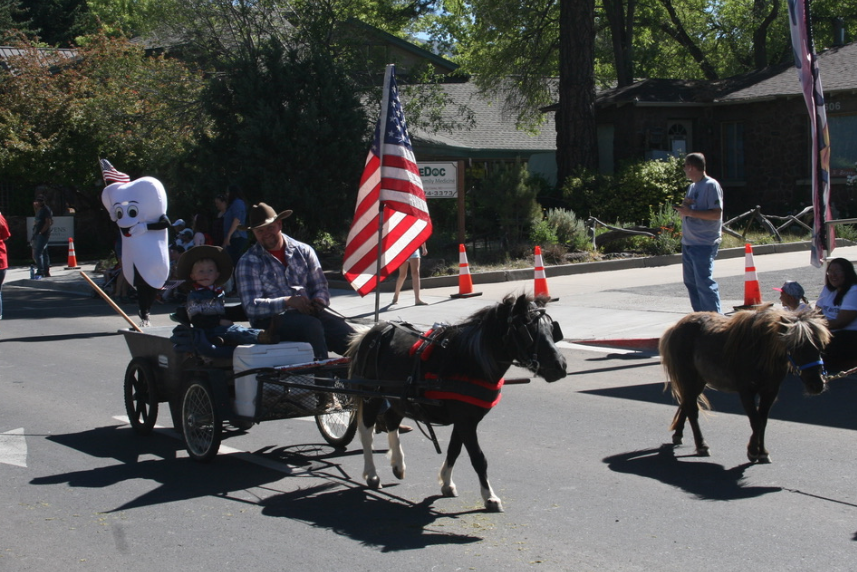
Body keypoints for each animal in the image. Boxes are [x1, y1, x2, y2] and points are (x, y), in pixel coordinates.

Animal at [348, 292, 568, 512]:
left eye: (552, 329)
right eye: (528, 331)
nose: (561, 366)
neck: (470, 361)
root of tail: (373, 331)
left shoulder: (465, 420)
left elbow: (454, 450)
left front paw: (446, 483)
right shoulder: (465, 421)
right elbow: (478, 458)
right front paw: (489, 496)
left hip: (398, 398)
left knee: (392, 422)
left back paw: (398, 464)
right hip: (371, 395)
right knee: (366, 431)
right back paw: (372, 474)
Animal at [656, 306, 828, 462]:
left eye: (820, 346)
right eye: (796, 347)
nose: (817, 385)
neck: (761, 350)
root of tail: (675, 327)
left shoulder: (770, 392)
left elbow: (763, 421)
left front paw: (762, 452)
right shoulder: (746, 392)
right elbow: (756, 421)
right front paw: (753, 451)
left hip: (698, 381)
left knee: (686, 403)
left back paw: (678, 434)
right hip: (689, 378)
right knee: (692, 410)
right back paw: (701, 446)